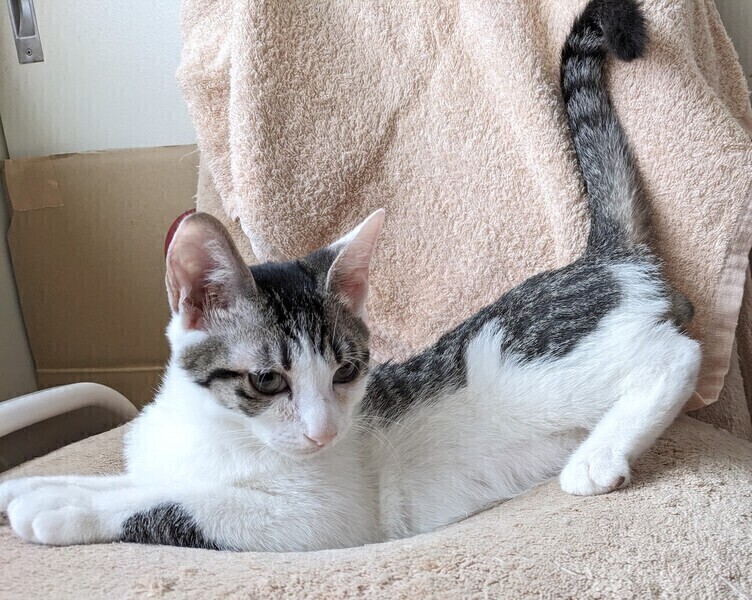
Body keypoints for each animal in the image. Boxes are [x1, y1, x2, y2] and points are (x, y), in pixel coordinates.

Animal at [0, 0, 700, 551]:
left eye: (345, 371)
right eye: (266, 380)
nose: (322, 432)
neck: (217, 430)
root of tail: (600, 257)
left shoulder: (318, 515)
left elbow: (180, 504)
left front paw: (61, 509)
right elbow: (136, 478)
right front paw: (37, 484)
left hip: (547, 367)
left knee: (677, 355)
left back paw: (598, 456)